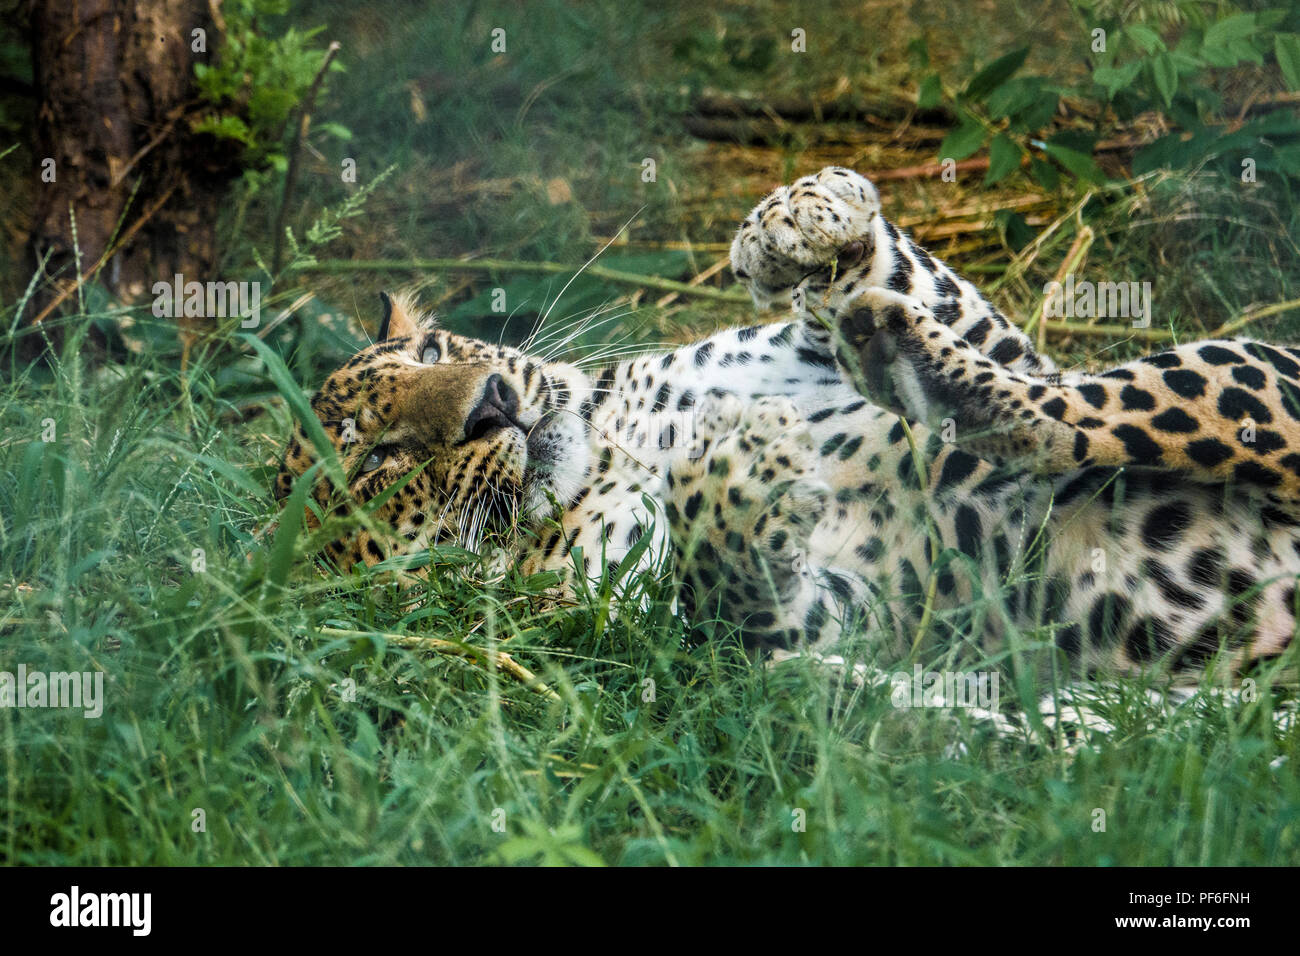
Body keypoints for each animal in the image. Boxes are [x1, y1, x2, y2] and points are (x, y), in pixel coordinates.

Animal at [275, 166, 1300, 686]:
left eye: (433, 349)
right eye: (379, 463)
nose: (490, 399)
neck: (612, 451)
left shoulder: (998, 340)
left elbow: (916, 285)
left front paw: (809, 217)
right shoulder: (803, 619)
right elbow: (742, 579)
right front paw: (741, 470)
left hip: (1255, 362)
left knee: (1088, 403)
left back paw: (892, 350)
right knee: (1072, 417)